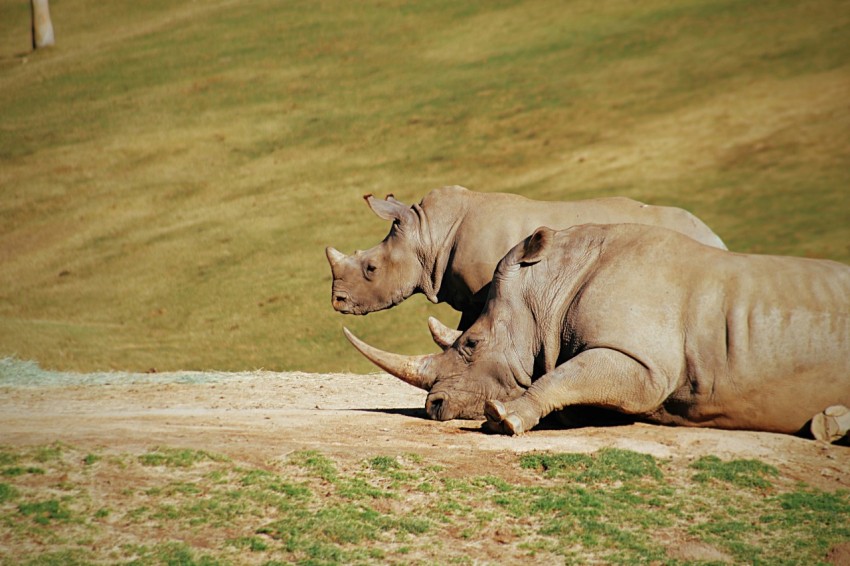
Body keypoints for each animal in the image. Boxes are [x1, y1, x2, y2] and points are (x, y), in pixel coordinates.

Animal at [324, 184, 724, 330]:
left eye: (371, 268)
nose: (337, 302)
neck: (427, 234)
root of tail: (714, 237)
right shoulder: (474, 295)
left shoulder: (485, 289)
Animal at [344, 223, 848, 440]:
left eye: (471, 344)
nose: (434, 407)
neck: (550, 286)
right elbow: (569, 381)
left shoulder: (642, 364)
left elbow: (564, 376)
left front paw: (503, 419)